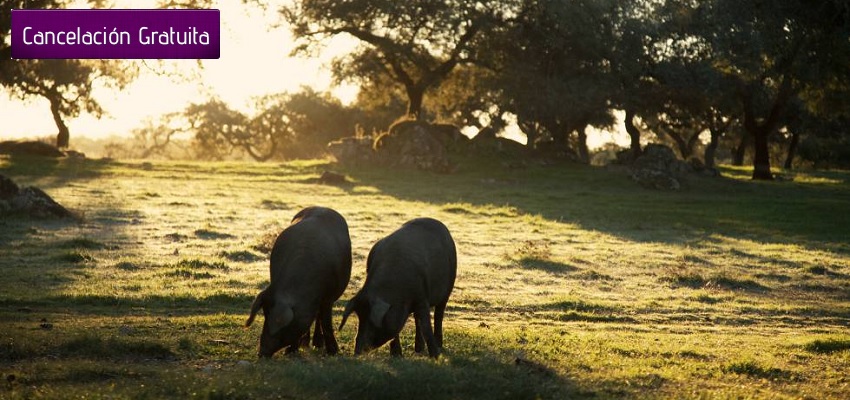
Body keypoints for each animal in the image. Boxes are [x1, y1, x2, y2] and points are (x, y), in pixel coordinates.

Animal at [245, 206, 352, 356]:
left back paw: (317, 344)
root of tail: (322, 207)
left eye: (280, 324)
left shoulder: (328, 297)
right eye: (265, 315)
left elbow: (326, 322)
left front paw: (333, 352)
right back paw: (306, 343)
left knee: (319, 316)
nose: (261, 353)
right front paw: (291, 351)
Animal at [340, 219, 458, 360]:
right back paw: (418, 349)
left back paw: (438, 346)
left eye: (371, 322)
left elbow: (426, 325)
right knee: (417, 319)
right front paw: (396, 355)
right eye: (360, 318)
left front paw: (435, 356)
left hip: (449, 286)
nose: (357, 351)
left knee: (438, 315)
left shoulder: (421, 296)